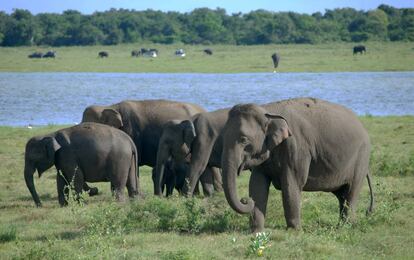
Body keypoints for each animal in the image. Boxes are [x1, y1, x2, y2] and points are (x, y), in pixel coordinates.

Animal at [222, 97, 374, 232]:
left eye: (243, 140)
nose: (245, 200)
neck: (268, 110)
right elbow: (257, 184)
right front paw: (256, 232)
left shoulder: (296, 148)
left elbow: (291, 184)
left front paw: (294, 231)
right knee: (342, 195)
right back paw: (342, 225)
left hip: (361, 158)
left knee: (351, 192)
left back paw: (346, 227)